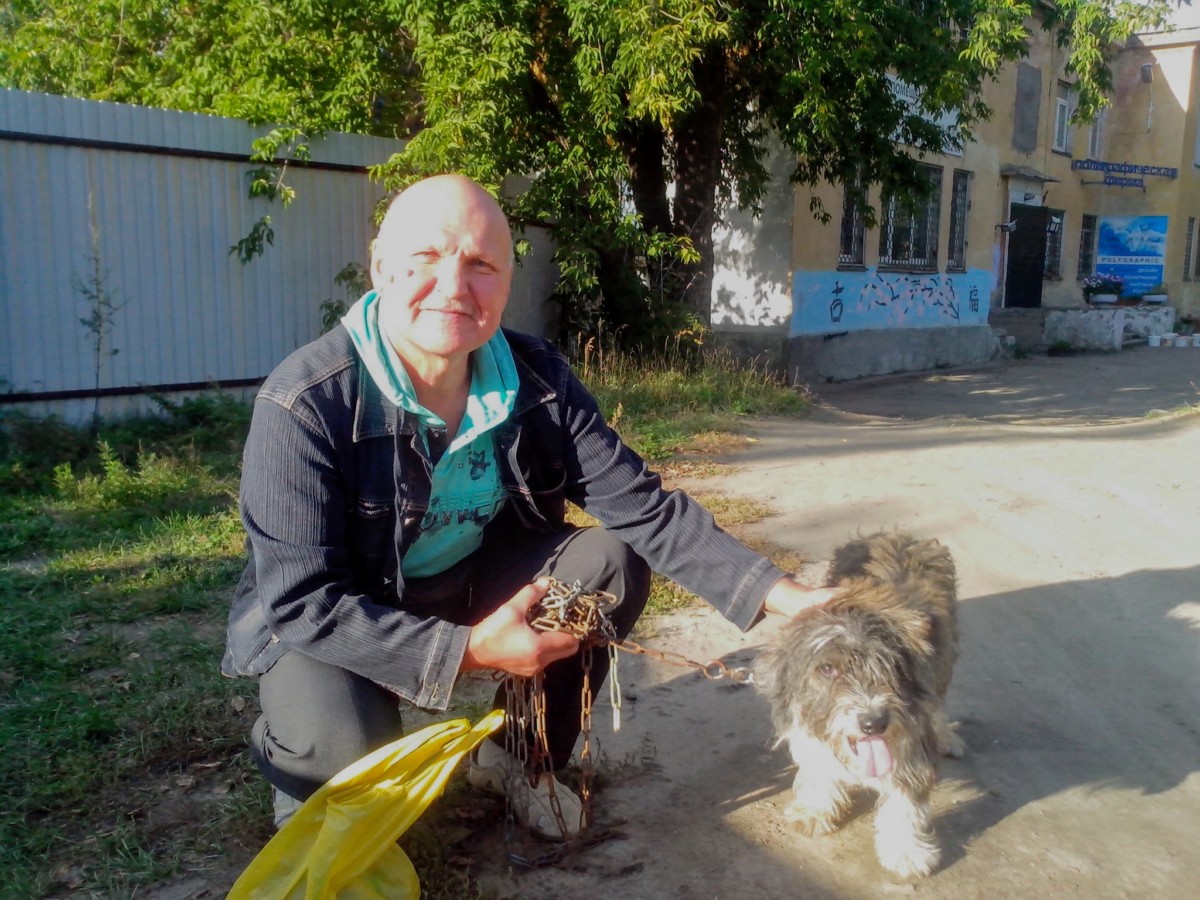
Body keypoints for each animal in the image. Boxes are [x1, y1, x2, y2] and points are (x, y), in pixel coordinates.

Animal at [763, 532, 960, 878]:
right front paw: (815, 808)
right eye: (827, 668)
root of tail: (900, 535)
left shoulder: (912, 737)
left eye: (890, 665)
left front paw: (906, 850)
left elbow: (905, 798)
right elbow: (819, 765)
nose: (874, 723)